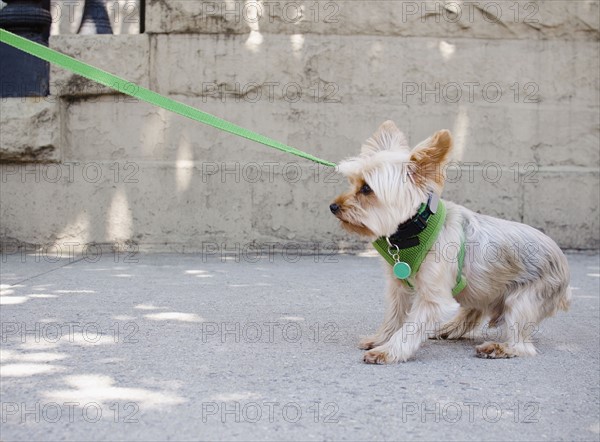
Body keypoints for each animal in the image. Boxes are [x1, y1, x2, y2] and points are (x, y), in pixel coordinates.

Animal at [332, 120, 572, 362]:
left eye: (366, 189)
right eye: (352, 182)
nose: (333, 206)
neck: (413, 229)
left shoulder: (432, 297)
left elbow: (411, 327)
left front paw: (388, 351)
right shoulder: (398, 287)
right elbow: (394, 315)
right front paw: (381, 338)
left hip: (525, 298)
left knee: (523, 344)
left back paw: (499, 348)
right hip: (483, 288)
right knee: (474, 310)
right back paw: (449, 329)